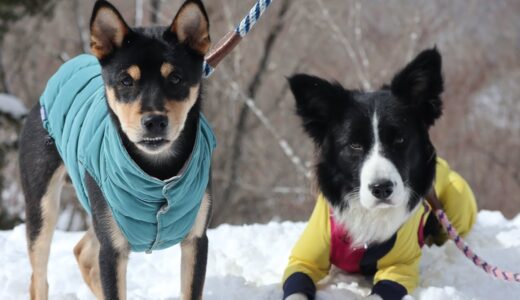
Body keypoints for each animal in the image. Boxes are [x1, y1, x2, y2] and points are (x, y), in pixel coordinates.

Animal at [18, 0, 213, 300]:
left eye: (176, 78)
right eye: (126, 81)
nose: (154, 121)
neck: (157, 172)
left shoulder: (196, 239)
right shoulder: (113, 247)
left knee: (83, 252)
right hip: (44, 204)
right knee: (39, 278)